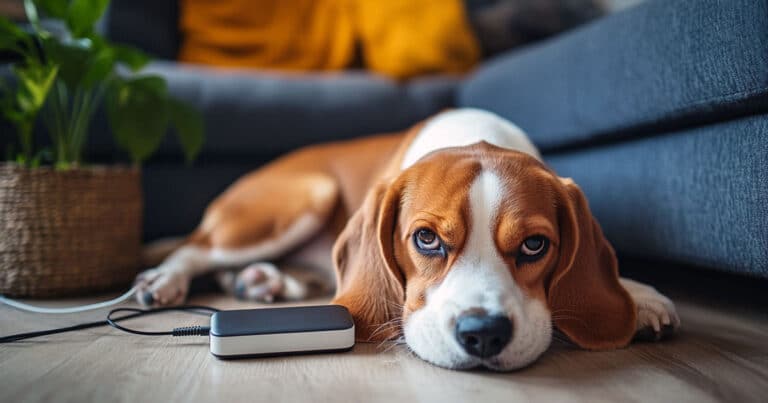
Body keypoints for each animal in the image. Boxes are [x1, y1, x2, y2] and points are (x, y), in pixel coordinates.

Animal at [136, 109, 680, 370]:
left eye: (533, 245)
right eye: (426, 239)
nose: (484, 334)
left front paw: (640, 295)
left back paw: (263, 281)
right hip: (304, 196)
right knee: (192, 249)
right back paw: (164, 281)